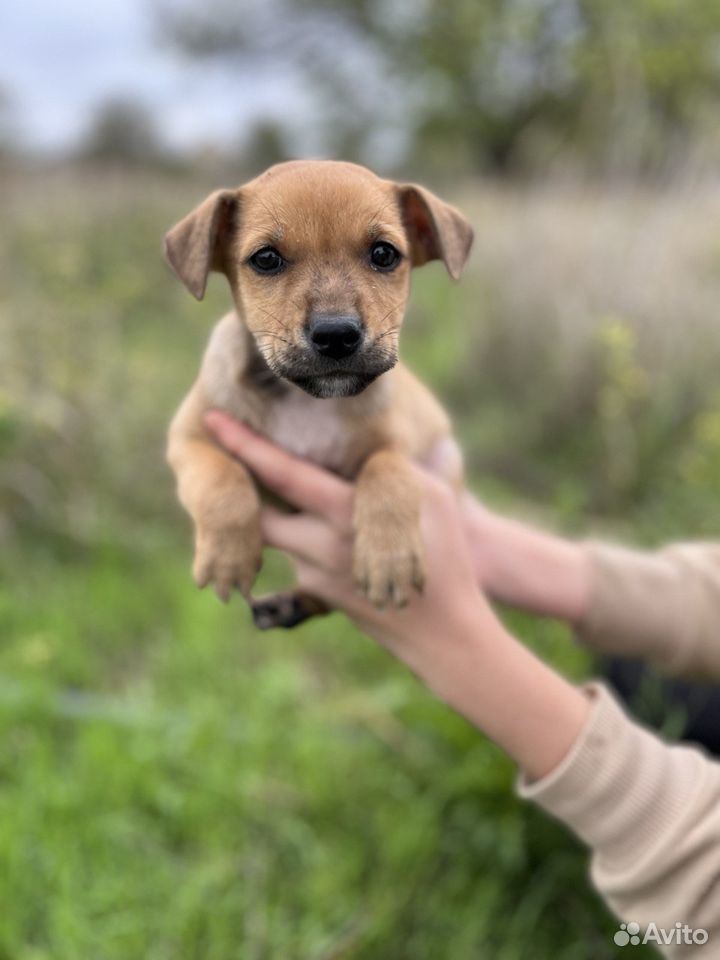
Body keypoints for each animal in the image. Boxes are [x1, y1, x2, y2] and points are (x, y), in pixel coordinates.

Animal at [166, 159, 476, 632]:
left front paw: (390, 560)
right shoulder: (189, 436)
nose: (336, 335)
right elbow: (221, 479)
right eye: (266, 259)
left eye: (384, 254)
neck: (308, 401)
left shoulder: (397, 444)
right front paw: (227, 557)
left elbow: (389, 474)